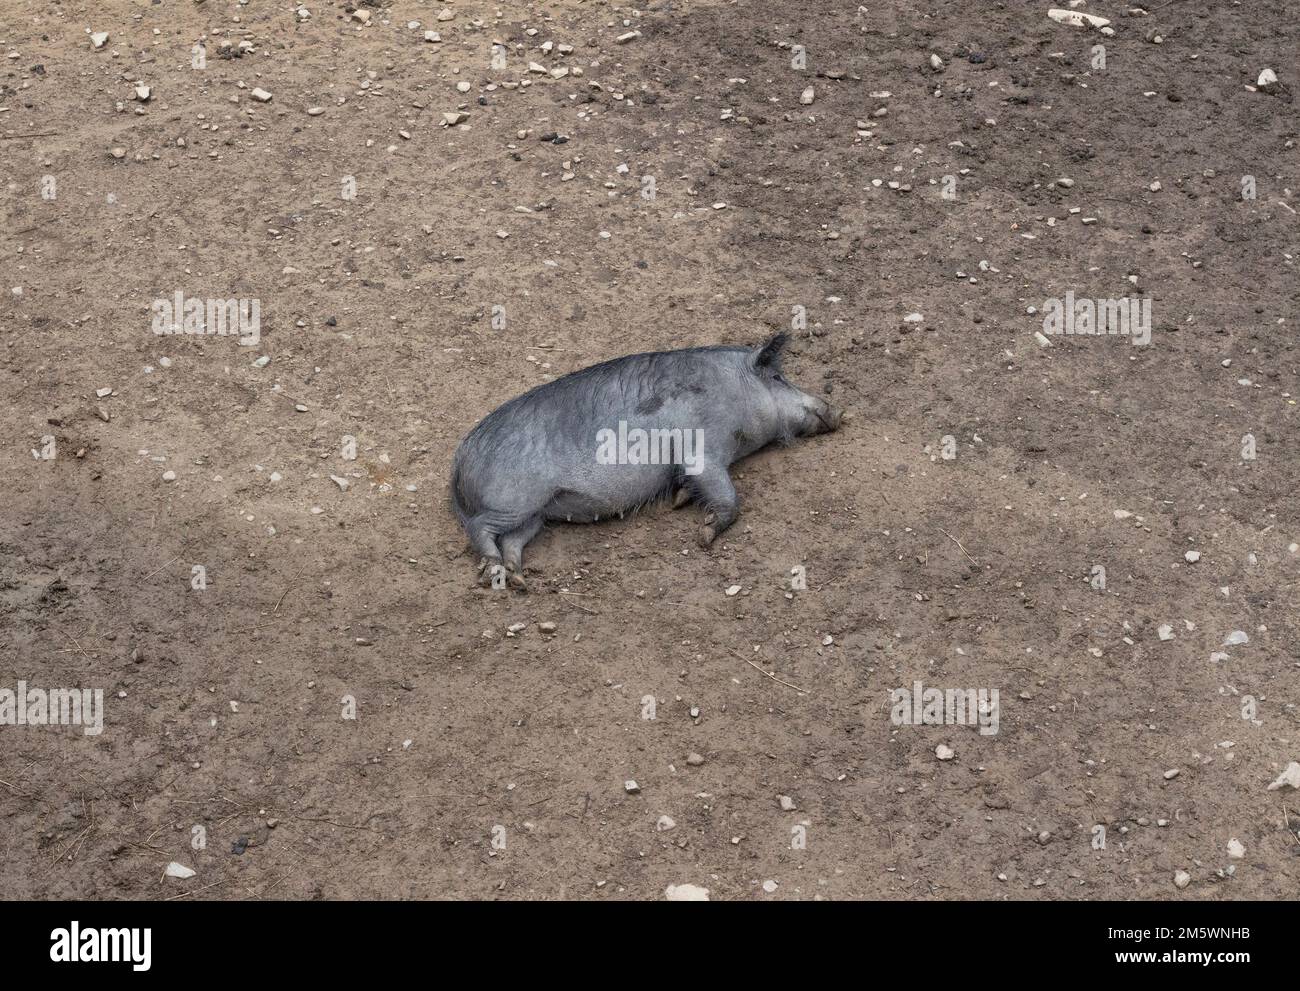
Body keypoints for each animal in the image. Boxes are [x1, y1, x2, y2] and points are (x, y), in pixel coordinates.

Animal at [452, 331, 847, 587]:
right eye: (778, 377)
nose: (839, 411)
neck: (733, 390)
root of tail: (459, 463)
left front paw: (680, 500)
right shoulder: (702, 451)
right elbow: (728, 498)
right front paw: (704, 535)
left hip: (535, 514)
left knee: (512, 540)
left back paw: (519, 579)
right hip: (513, 501)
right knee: (479, 527)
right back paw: (493, 573)